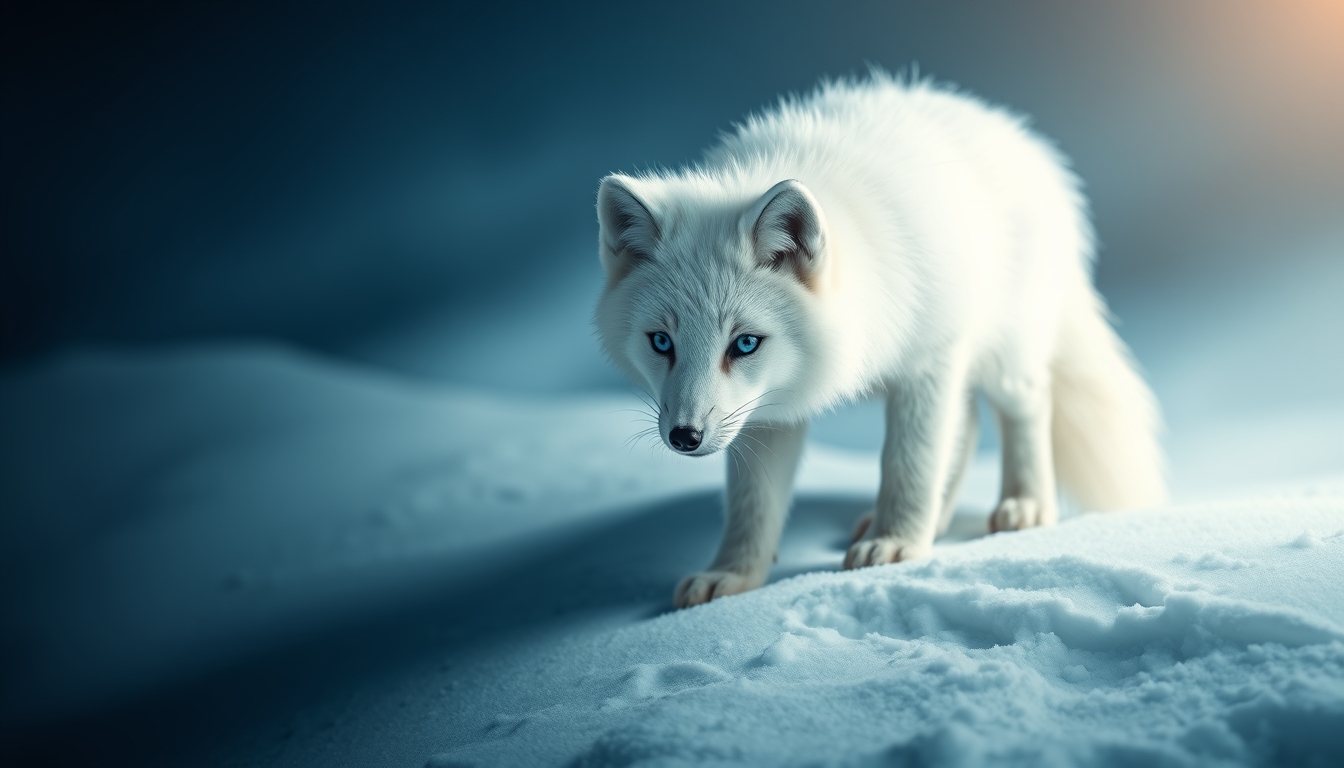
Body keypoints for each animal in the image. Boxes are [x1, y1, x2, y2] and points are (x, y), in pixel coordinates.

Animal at [593, 71, 1166, 609]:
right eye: (661, 343)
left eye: (745, 344)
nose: (684, 437)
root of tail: (1020, 137)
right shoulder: (768, 414)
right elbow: (752, 504)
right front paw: (734, 575)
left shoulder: (929, 360)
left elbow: (910, 460)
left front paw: (895, 544)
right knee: (968, 426)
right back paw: (938, 520)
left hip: (1003, 353)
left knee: (1024, 406)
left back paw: (1025, 504)